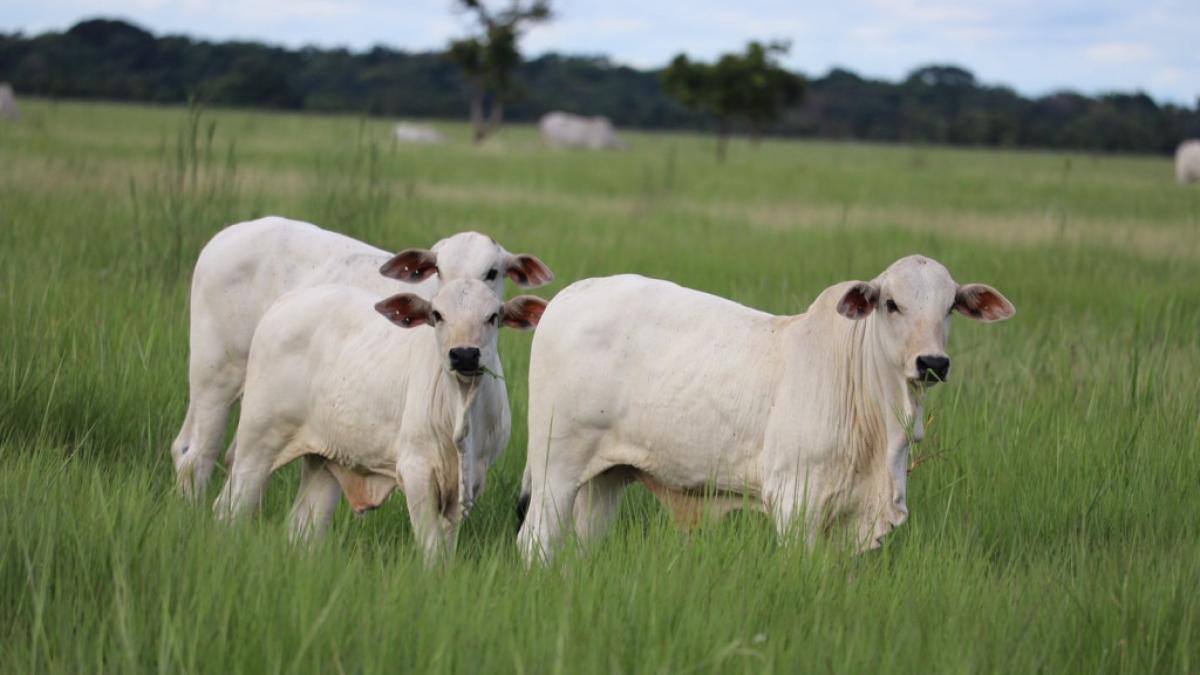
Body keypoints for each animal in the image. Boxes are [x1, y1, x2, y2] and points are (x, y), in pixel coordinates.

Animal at [214, 280, 548, 561]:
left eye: (492, 316)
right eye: (437, 315)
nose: (464, 354)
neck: (461, 408)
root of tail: (286, 301)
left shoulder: (471, 481)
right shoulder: (416, 470)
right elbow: (431, 548)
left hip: (322, 462)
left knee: (302, 528)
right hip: (256, 446)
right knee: (228, 509)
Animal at [516, 256, 1014, 563]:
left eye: (950, 307)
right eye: (891, 304)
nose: (932, 363)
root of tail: (568, 297)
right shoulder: (795, 502)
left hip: (603, 478)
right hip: (555, 469)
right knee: (534, 542)